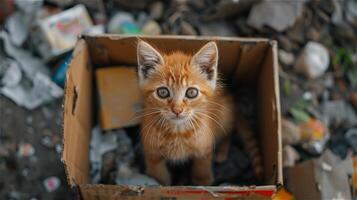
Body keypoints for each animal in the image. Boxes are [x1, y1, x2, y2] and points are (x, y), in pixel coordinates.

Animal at [136, 41, 258, 186]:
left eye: (191, 92)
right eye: (163, 92)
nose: (177, 110)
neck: (177, 132)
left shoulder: (204, 144)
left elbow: (203, 161)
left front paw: (203, 180)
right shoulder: (151, 150)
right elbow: (157, 170)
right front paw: (159, 181)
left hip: (224, 114)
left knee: (227, 130)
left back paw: (221, 151)